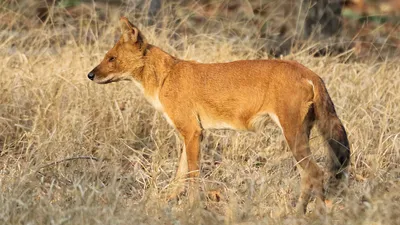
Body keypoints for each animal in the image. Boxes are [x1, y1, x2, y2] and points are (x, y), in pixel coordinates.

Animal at [87, 16, 350, 214]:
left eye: (111, 58)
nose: (90, 74)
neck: (164, 78)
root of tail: (311, 73)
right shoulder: (189, 134)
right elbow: (180, 175)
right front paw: (164, 202)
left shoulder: (193, 132)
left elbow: (192, 175)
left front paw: (191, 209)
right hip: (300, 135)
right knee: (309, 175)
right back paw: (298, 212)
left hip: (292, 135)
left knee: (316, 172)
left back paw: (314, 214)